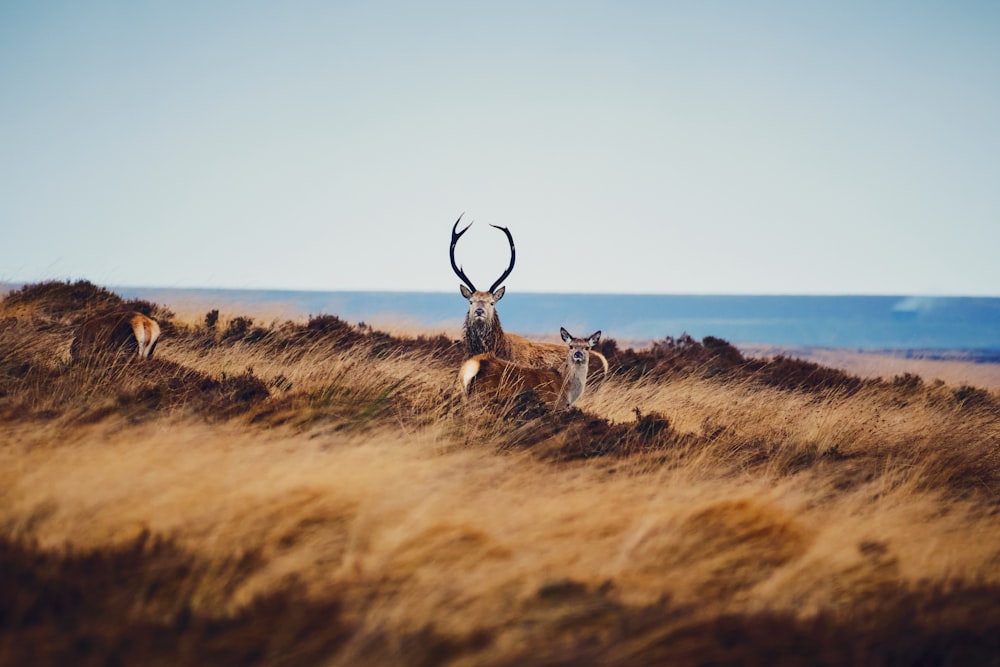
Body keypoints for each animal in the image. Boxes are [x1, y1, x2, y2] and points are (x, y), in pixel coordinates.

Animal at [460, 328, 600, 410]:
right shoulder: (552, 404)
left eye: (587, 348)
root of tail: (474, 364)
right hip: (483, 396)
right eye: (571, 346)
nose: (578, 354)